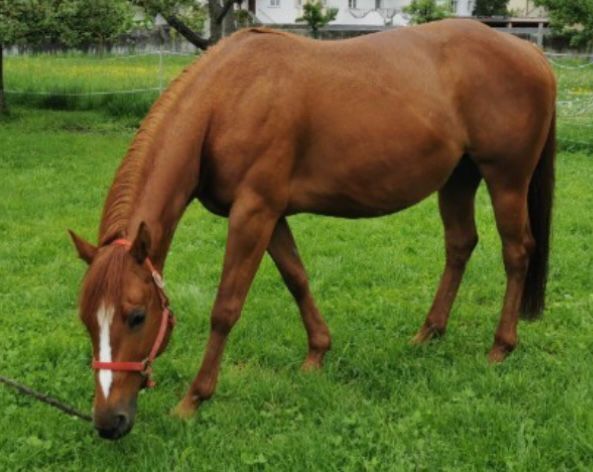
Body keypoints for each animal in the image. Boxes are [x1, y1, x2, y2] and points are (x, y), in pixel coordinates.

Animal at [69, 18, 556, 438]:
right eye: (86, 320)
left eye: (137, 316)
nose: (108, 422)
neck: (227, 99)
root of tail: (531, 54)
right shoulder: (271, 216)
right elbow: (297, 278)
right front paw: (318, 353)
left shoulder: (253, 213)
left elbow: (226, 307)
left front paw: (193, 399)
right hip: (458, 178)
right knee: (459, 245)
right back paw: (428, 333)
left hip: (506, 180)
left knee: (516, 253)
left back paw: (501, 347)